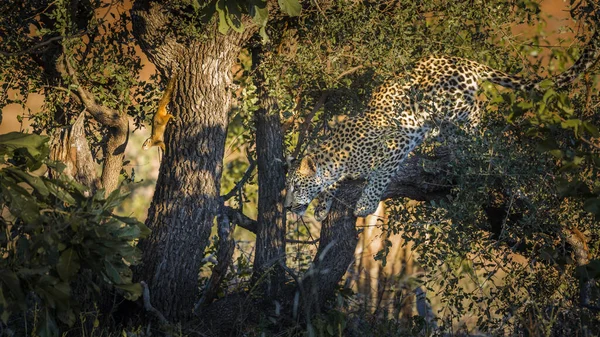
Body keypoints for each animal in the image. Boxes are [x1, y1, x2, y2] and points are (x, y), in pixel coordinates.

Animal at [284, 29, 600, 220]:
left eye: (295, 186)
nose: (286, 206)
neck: (338, 159)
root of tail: (466, 61)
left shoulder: (396, 142)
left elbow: (379, 177)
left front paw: (364, 204)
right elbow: (330, 186)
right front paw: (322, 208)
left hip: (447, 104)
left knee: (476, 112)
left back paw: (475, 137)